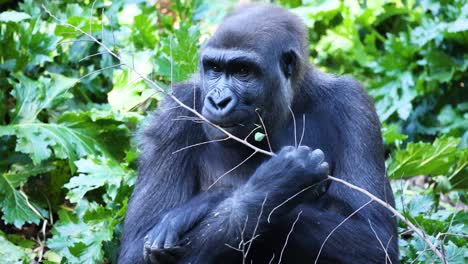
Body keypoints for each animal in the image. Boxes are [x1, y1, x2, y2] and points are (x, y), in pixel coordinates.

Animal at [119, 2, 398, 264]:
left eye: (243, 71)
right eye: (214, 69)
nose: (218, 101)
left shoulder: (353, 103)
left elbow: (375, 239)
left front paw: (202, 204)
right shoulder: (175, 111)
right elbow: (135, 250)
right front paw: (276, 185)